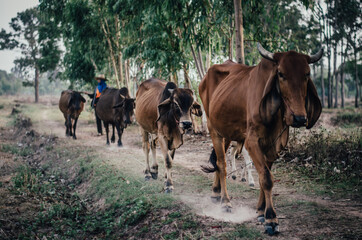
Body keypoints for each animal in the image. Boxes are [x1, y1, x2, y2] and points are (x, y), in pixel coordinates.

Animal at [201, 43, 322, 234]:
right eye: (281, 74)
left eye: (307, 74)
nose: (299, 118)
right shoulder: (252, 142)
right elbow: (266, 178)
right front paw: (271, 218)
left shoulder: (273, 145)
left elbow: (264, 175)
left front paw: (260, 210)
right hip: (214, 130)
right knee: (222, 164)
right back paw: (226, 202)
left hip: (226, 132)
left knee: (219, 163)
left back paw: (215, 193)